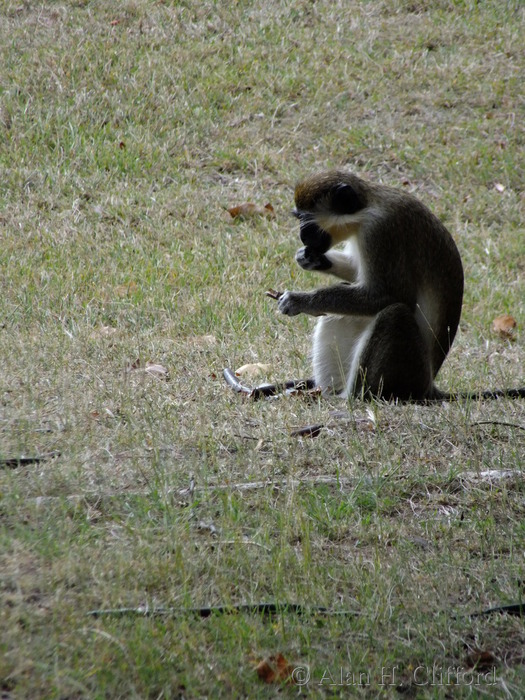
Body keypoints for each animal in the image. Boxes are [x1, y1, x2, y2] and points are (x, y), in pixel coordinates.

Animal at [224, 170, 525, 402]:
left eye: (305, 221)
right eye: (298, 219)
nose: (302, 236)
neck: (366, 209)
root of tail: (428, 384)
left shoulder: (381, 232)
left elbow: (389, 295)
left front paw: (301, 300)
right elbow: (357, 275)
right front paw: (311, 259)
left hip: (408, 369)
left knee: (394, 313)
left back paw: (346, 398)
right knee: (340, 314)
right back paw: (326, 390)